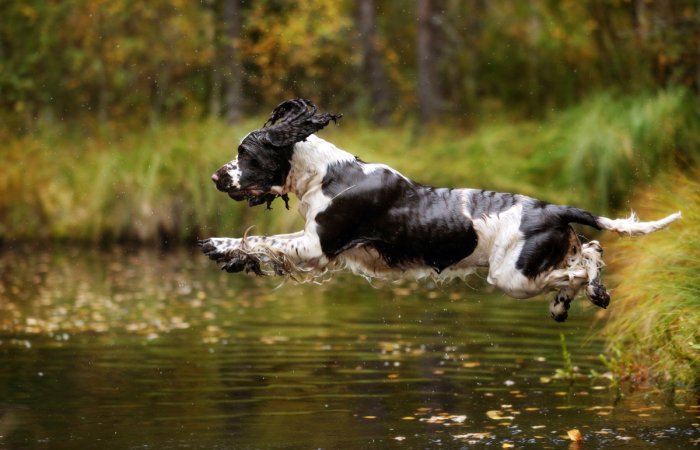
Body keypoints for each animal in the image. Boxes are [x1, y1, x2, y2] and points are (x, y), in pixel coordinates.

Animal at [198, 98, 680, 322]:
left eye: (246, 154)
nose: (216, 178)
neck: (325, 174)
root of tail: (554, 208)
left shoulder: (318, 246)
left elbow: (262, 240)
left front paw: (218, 245)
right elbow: (263, 244)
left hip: (512, 276)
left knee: (583, 267)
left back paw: (589, 294)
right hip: (534, 264)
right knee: (590, 250)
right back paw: (567, 304)